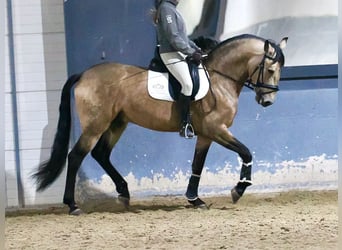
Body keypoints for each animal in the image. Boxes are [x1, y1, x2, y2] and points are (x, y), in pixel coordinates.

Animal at [32, 33, 288, 215]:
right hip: (96, 126)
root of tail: (84, 74)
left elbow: (197, 165)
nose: (268, 101)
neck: (219, 78)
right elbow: (246, 152)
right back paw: (73, 205)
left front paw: (195, 199)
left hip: (117, 123)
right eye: (271, 69)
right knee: (76, 156)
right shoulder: (217, 130)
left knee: (101, 154)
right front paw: (238, 189)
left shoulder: (206, 134)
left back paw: (124, 193)